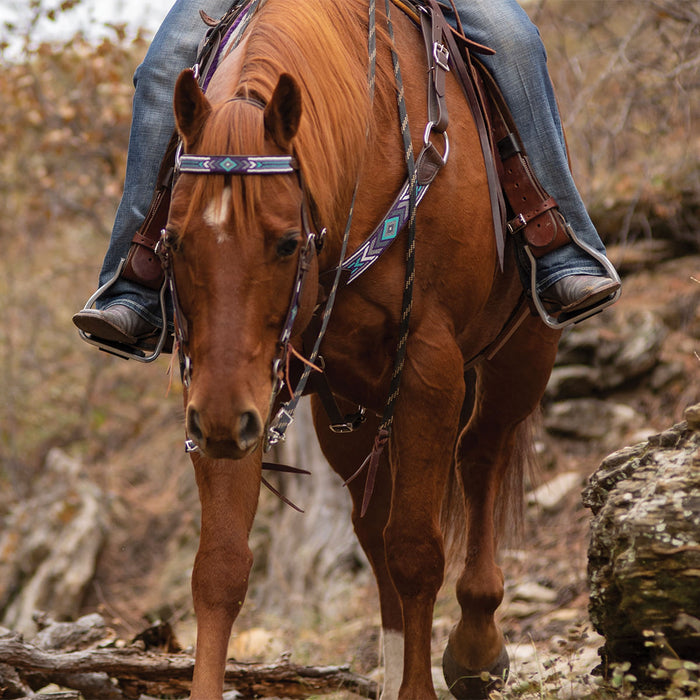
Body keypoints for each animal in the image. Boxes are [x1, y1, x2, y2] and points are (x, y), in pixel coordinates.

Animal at [161, 2, 560, 696]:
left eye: (287, 243)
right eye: (176, 240)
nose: (219, 422)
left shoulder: (431, 369)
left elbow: (418, 551)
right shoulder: (230, 389)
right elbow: (220, 567)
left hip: (521, 353)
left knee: (479, 456)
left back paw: (477, 647)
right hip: (347, 408)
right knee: (373, 527)